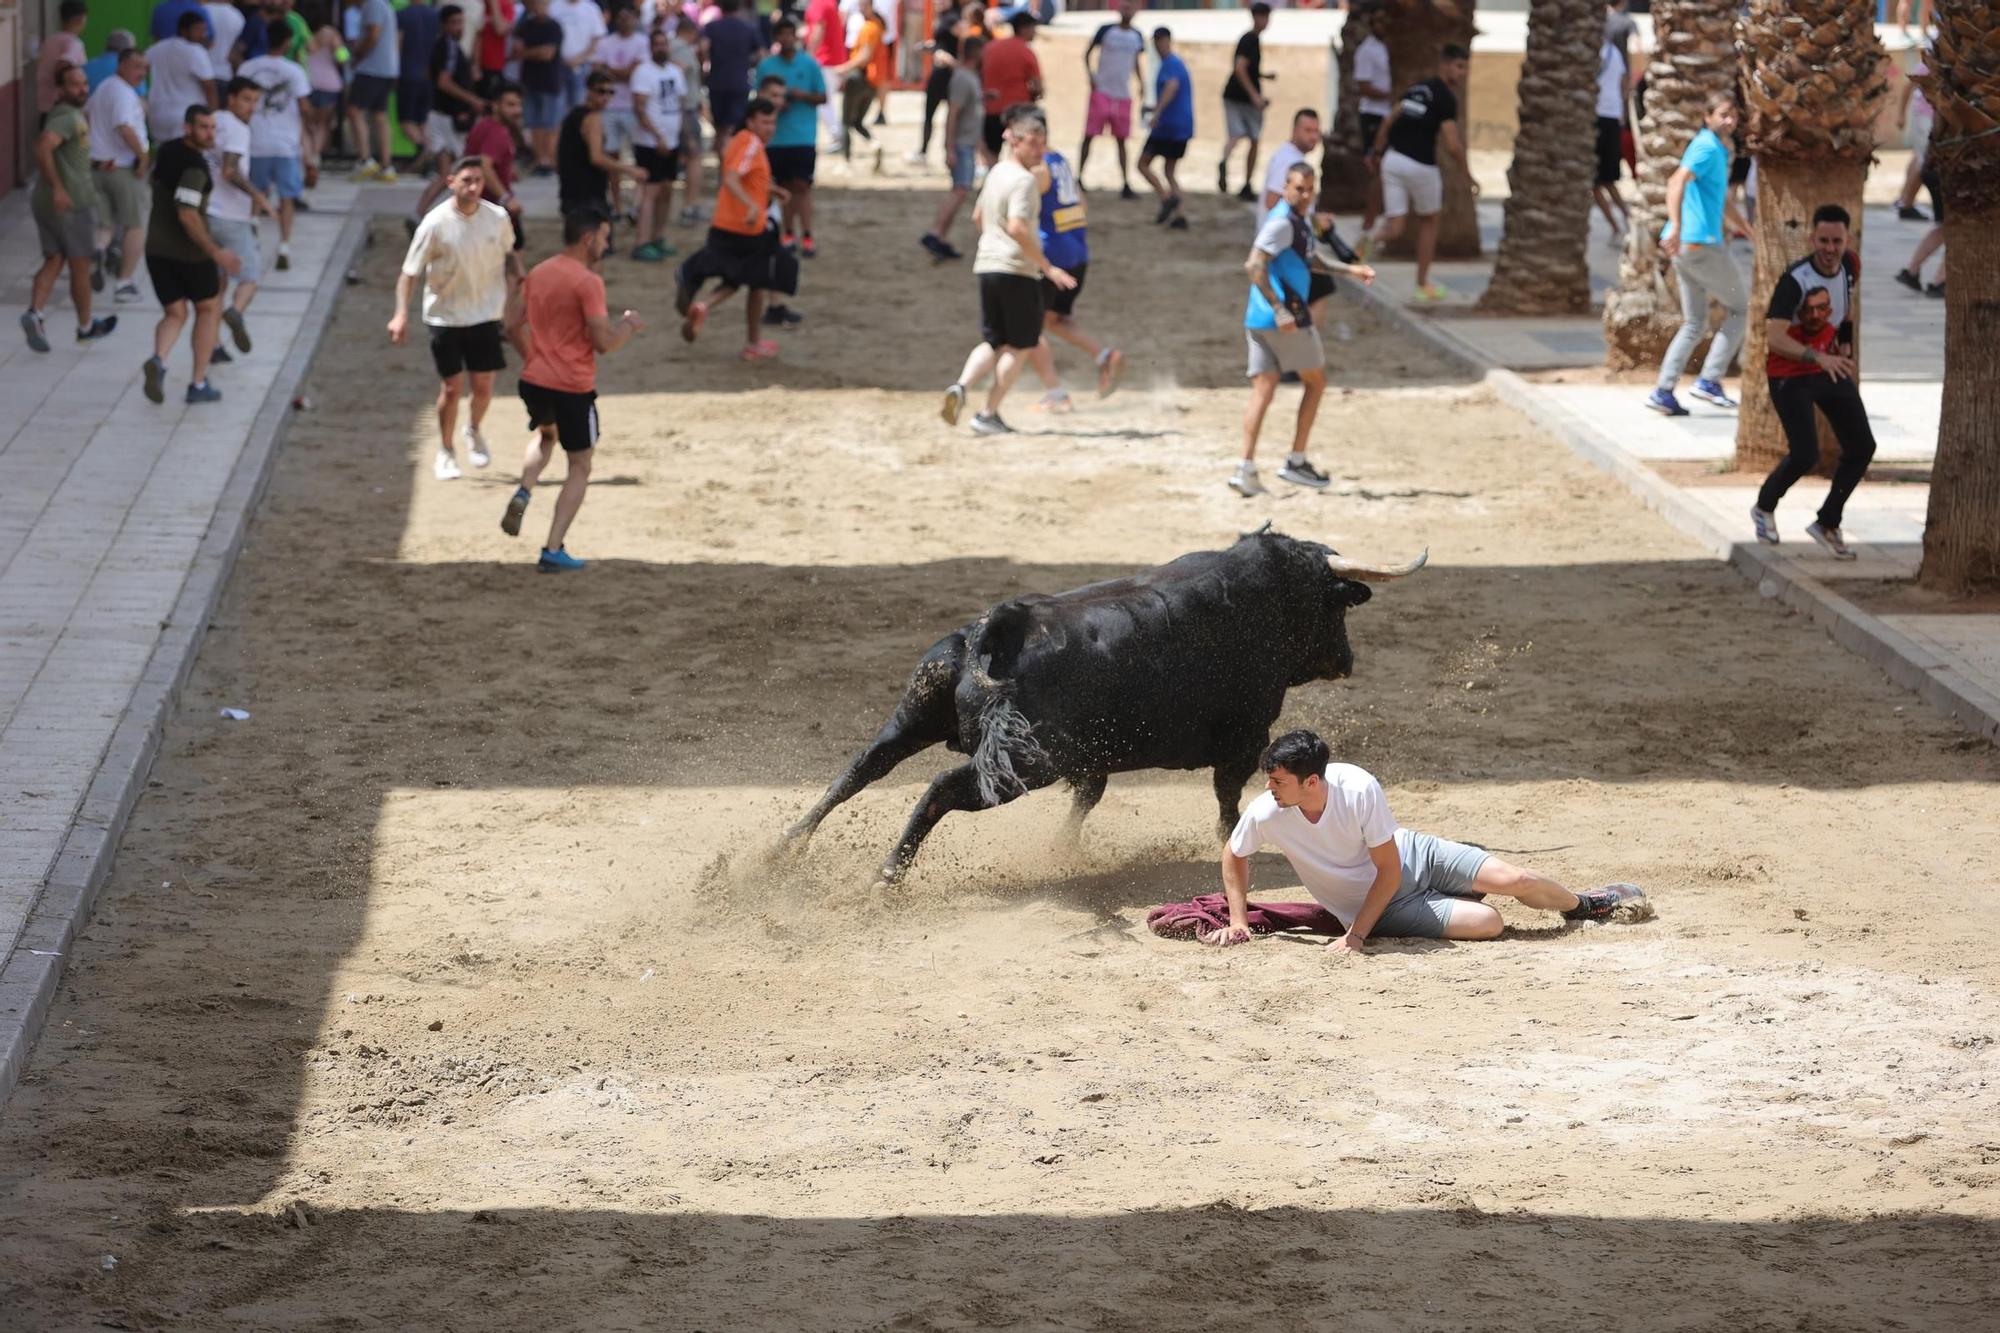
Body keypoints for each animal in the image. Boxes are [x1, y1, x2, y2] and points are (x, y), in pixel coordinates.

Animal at [780, 528, 1424, 880]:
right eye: (1335, 605)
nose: (1346, 661)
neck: (1265, 595)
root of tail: (997, 626)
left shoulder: (1092, 759)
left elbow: (1088, 798)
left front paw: (1059, 852)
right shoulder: (1245, 738)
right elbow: (1226, 803)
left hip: (914, 713)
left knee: (863, 767)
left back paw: (781, 849)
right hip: (1022, 764)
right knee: (938, 787)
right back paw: (886, 874)